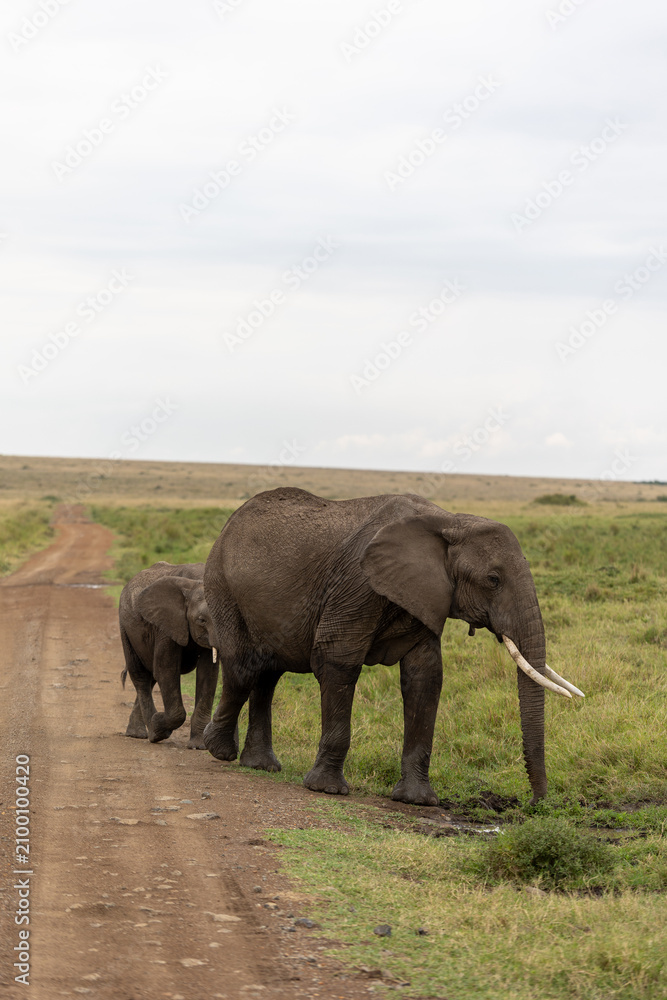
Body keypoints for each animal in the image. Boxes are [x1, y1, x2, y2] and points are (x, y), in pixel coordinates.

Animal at [119, 562, 219, 749]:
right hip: (125, 628)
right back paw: (151, 732)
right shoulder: (165, 624)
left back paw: (138, 733)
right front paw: (159, 727)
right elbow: (166, 670)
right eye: (201, 620)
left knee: (151, 677)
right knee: (140, 676)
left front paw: (198, 746)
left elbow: (208, 674)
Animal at [203, 487, 583, 805]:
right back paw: (217, 749)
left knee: (268, 674)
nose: (534, 803)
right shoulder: (356, 584)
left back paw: (260, 765)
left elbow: (425, 676)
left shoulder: (424, 594)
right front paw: (327, 790)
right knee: (244, 667)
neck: (449, 521)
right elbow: (338, 659)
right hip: (222, 586)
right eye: (493, 580)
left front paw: (417, 800)